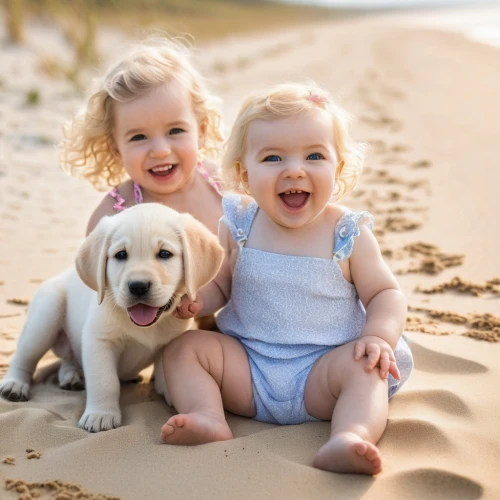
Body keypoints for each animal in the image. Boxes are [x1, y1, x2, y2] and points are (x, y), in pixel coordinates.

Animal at [0, 202, 223, 430]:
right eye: (121, 255)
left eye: (164, 254)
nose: (138, 286)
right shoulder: (99, 342)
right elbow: (104, 381)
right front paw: (101, 415)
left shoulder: (171, 343)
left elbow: (167, 374)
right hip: (45, 316)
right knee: (24, 357)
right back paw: (15, 384)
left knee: (69, 359)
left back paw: (70, 376)